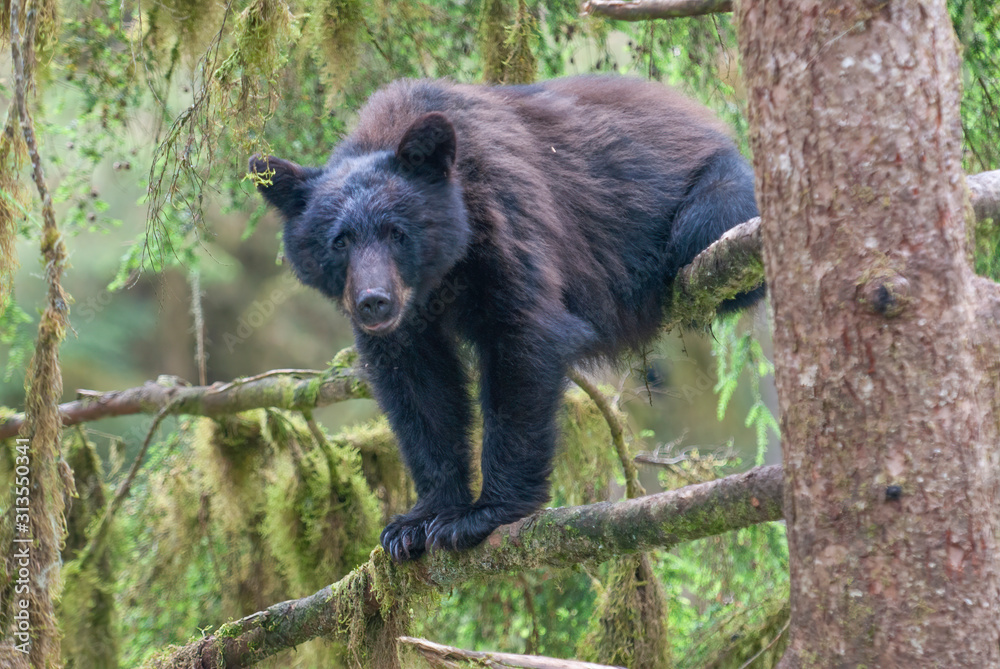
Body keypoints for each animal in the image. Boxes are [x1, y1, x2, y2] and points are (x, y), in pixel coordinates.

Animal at [250, 75, 762, 562]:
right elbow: (418, 388)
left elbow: (525, 338)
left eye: (398, 233)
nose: (373, 302)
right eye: (339, 241)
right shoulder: (405, 327)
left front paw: (482, 514)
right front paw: (417, 521)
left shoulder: (505, 217)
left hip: (719, 195)